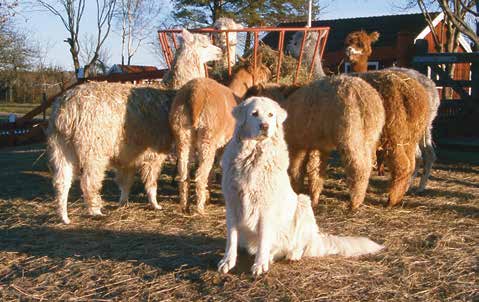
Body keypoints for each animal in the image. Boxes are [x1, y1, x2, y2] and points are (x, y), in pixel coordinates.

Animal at [219, 96, 384, 276]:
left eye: (270, 115)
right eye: (254, 114)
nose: (265, 126)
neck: (253, 157)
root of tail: (316, 239)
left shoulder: (266, 207)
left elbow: (264, 237)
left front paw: (260, 264)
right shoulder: (232, 203)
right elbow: (231, 238)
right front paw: (228, 261)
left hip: (303, 204)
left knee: (297, 245)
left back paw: (291, 255)